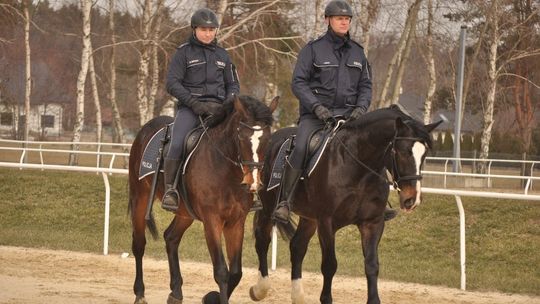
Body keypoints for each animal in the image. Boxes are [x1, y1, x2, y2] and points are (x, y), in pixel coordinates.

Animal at [128, 95, 276, 304]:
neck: (225, 170)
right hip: (139, 199)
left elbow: (236, 272)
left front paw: (212, 297)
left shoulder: (236, 222)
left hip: (184, 213)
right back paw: (140, 294)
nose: (252, 181)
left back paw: (176, 292)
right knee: (139, 244)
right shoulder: (212, 220)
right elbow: (221, 271)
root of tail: (146, 129)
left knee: (171, 237)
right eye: (241, 137)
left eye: (268, 139)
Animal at [249, 106, 438, 304]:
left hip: (309, 218)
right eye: (401, 152)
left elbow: (371, 264)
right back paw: (260, 289)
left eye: (424, 154)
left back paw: (298, 295)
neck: (355, 165)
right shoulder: (327, 223)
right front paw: (326, 298)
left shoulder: (372, 223)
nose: (412, 199)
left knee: (297, 247)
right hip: (269, 208)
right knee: (262, 241)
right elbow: (329, 265)